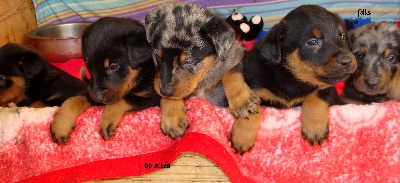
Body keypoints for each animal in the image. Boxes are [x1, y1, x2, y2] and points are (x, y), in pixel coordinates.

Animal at [48, 16, 158, 144]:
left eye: (113, 66)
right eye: (89, 67)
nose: (96, 98)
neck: (142, 71)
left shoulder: (152, 97)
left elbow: (123, 99)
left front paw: (107, 121)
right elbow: (73, 100)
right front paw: (60, 125)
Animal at [144, 2, 260, 153]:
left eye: (190, 60)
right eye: (157, 57)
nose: (165, 91)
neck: (204, 78)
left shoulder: (239, 56)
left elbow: (231, 73)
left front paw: (243, 128)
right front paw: (172, 116)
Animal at [241, 4, 356, 146]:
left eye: (343, 36)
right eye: (312, 42)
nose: (348, 60)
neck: (293, 78)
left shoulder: (328, 90)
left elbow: (315, 97)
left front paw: (315, 128)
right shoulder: (257, 90)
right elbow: (251, 109)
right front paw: (242, 137)